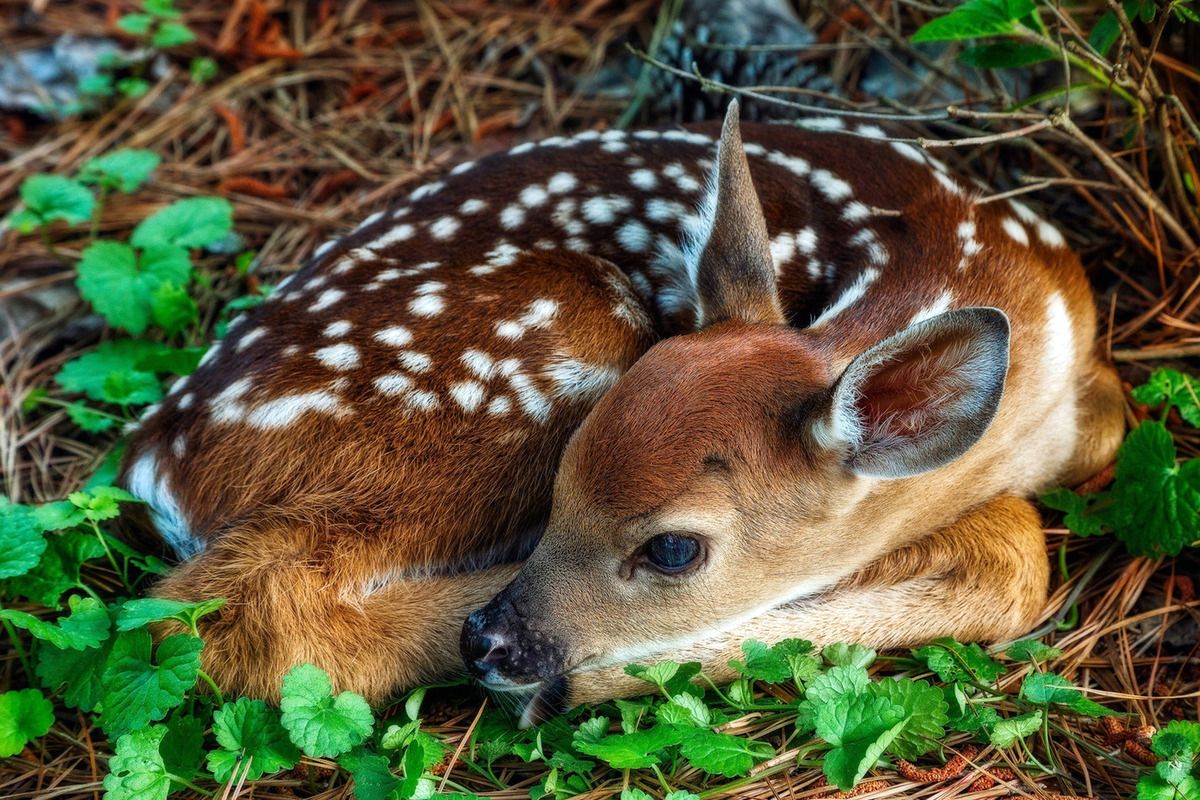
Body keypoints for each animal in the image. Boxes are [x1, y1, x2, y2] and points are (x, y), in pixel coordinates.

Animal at [124, 103, 1123, 724]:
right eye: (561, 486)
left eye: (673, 549)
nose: (486, 640)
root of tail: (154, 461)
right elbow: (1011, 554)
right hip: (538, 346)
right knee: (252, 610)